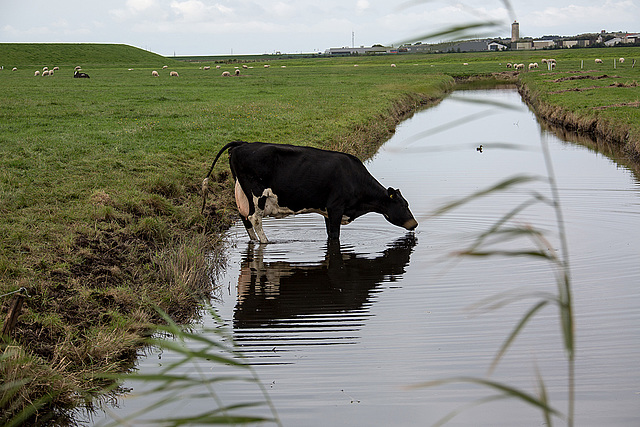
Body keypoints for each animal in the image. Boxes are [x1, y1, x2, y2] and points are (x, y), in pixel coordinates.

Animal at [201, 140, 420, 242]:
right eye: (404, 204)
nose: (415, 223)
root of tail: (243, 144)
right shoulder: (336, 208)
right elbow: (335, 236)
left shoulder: (327, 211)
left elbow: (329, 234)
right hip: (257, 195)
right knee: (255, 218)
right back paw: (265, 242)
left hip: (242, 193)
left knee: (244, 217)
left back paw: (255, 241)